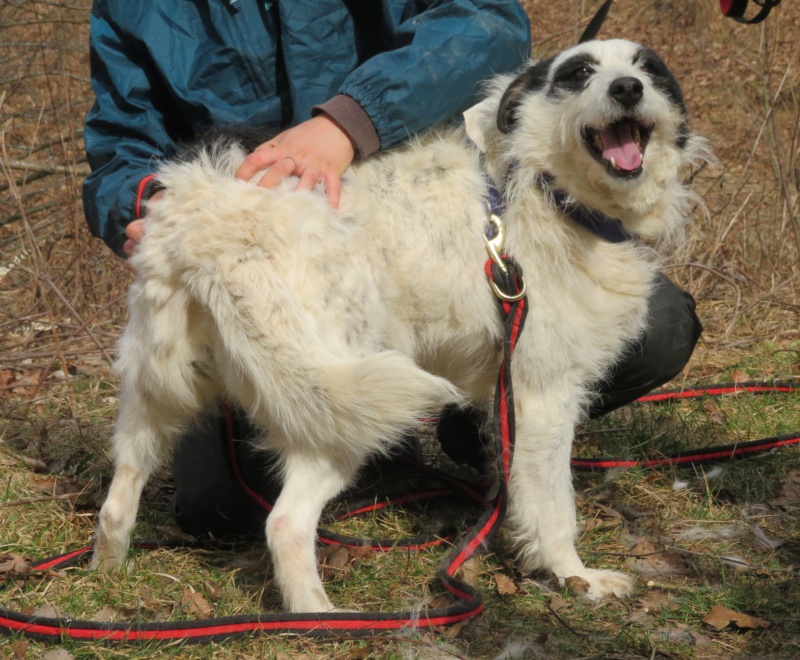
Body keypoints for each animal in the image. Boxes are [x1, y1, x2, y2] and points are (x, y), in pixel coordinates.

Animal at [94, 38, 712, 612]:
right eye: (579, 72)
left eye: (648, 69)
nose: (627, 88)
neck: (542, 184)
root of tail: (211, 228)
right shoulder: (544, 396)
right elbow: (553, 505)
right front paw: (574, 577)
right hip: (341, 413)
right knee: (285, 522)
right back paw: (319, 616)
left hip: (159, 393)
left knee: (118, 498)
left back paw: (108, 577)